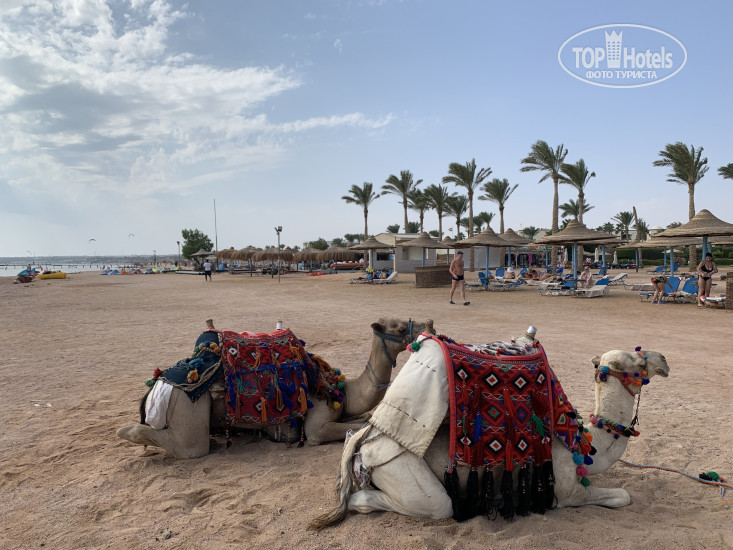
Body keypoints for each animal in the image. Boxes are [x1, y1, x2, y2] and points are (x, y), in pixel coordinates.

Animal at [116, 317, 434, 459]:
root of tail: (159, 381)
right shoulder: (316, 426)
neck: (340, 390)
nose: (429, 323)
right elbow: (352, 427)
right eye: (396, 327)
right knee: (175, 443)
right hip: (186, 408)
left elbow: (363, 419)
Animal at [309, 330, 670, 529]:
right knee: (425, 504)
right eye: (639, 362)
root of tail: (364, 440)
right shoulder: (567, 491)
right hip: (399, 468)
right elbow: (622, 496)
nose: (664, 360)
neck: (583, 444)